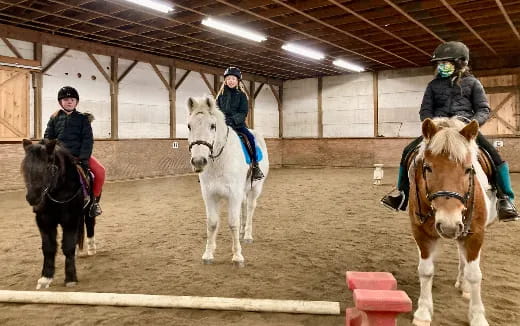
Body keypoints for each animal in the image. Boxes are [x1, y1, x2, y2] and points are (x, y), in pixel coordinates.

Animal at [20, 139, 96, 290]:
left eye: (48, 167)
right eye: (25, 168)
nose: (33, 198)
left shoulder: (71, 220)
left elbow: (68, 246)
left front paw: (71, 278)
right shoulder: (44, 221)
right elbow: (48, 248)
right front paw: (45, 278)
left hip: (89, 210)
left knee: (90, 224)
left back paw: (91, 248)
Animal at [187, 95, 270, 266]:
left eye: (212, 126)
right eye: (189, 126)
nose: (198, 161)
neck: (219, 161)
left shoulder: (233, 195)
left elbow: (233, 222)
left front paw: (237, 256)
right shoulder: (210, 195)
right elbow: (212, 223)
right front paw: (208, 253)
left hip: (255, 188)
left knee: (250, 208)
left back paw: (247, 235)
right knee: (243, 208)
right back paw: (242, 232)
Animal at [410, 118, 496, 326]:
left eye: (468, 169)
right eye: (428, 167)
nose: (448, 224)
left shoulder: (475, 234)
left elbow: (475, 274)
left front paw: (478, 316)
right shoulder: (420, 233)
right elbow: (425, 270)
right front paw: (423, 313)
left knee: (465, 260)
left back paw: (464, 286)